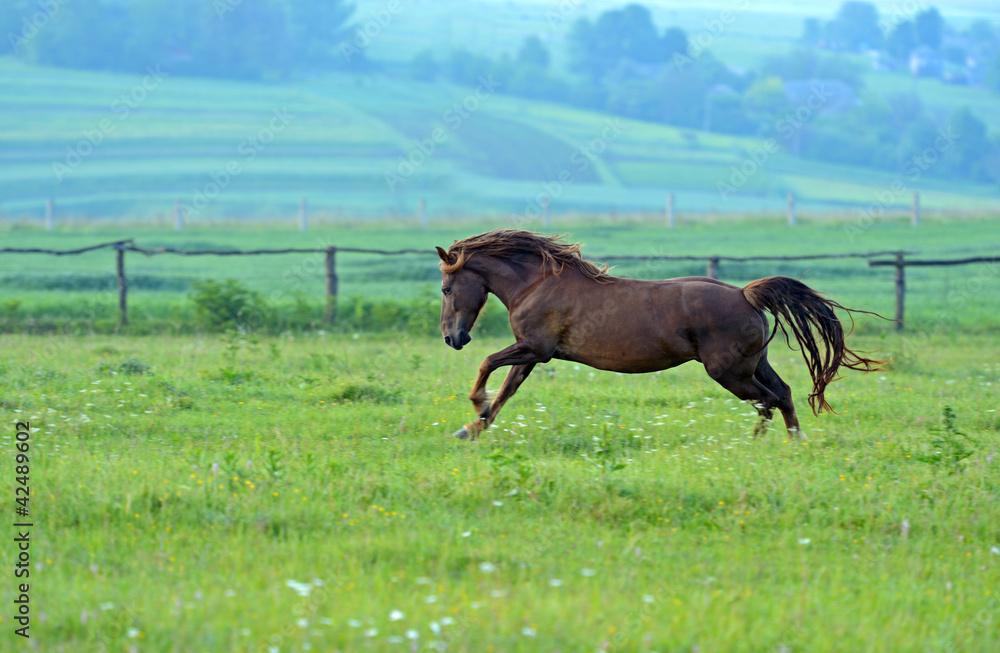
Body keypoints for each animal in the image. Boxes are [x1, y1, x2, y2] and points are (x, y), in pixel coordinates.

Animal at [436, 229, 886, 441]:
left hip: (729, 372)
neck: (538, 283)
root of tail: (746, 294)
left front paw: (475, 408)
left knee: (768, 401)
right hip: (754, 364)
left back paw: (757, 446)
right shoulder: (532, 355)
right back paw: (795, 446)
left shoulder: (534, 348)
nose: (452, 339)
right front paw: (472, 428)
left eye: (445, 289)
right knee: (785, 395)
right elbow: (506, 391)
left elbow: (487, 365)